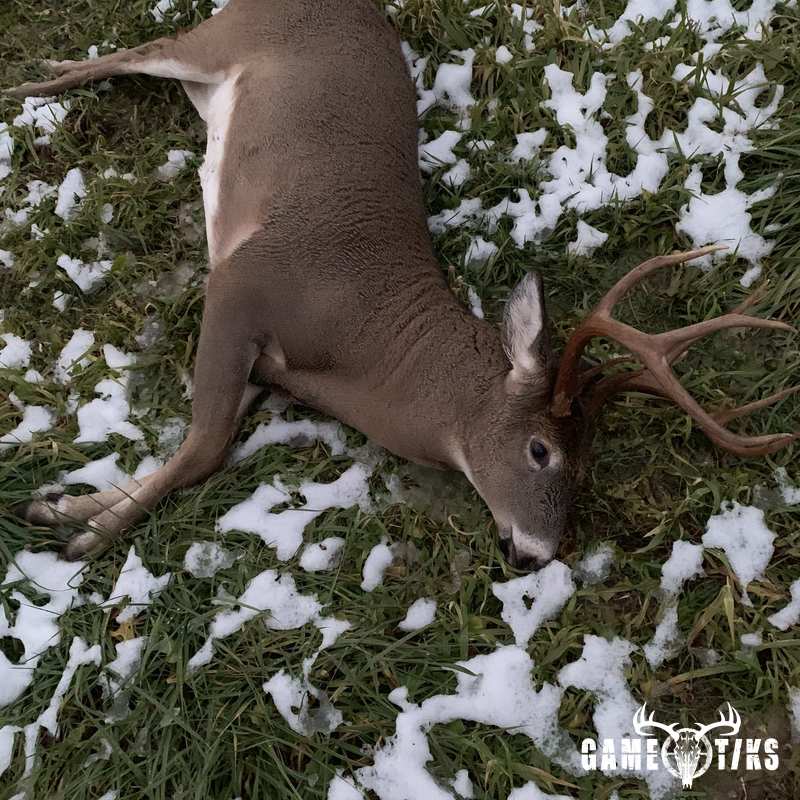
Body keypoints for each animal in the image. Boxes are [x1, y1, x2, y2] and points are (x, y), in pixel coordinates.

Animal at [6, 0, 798, 568]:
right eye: (541, 451)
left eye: (588, 463)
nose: (537, 555)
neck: (369, 347)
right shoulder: (242, 282)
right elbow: (203, 447)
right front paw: (87, 534)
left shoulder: (265, 365)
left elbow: (199, 444)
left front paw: (62, 508)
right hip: (228, 34)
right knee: (136, 50)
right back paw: (28, 80)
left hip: (213, 84)